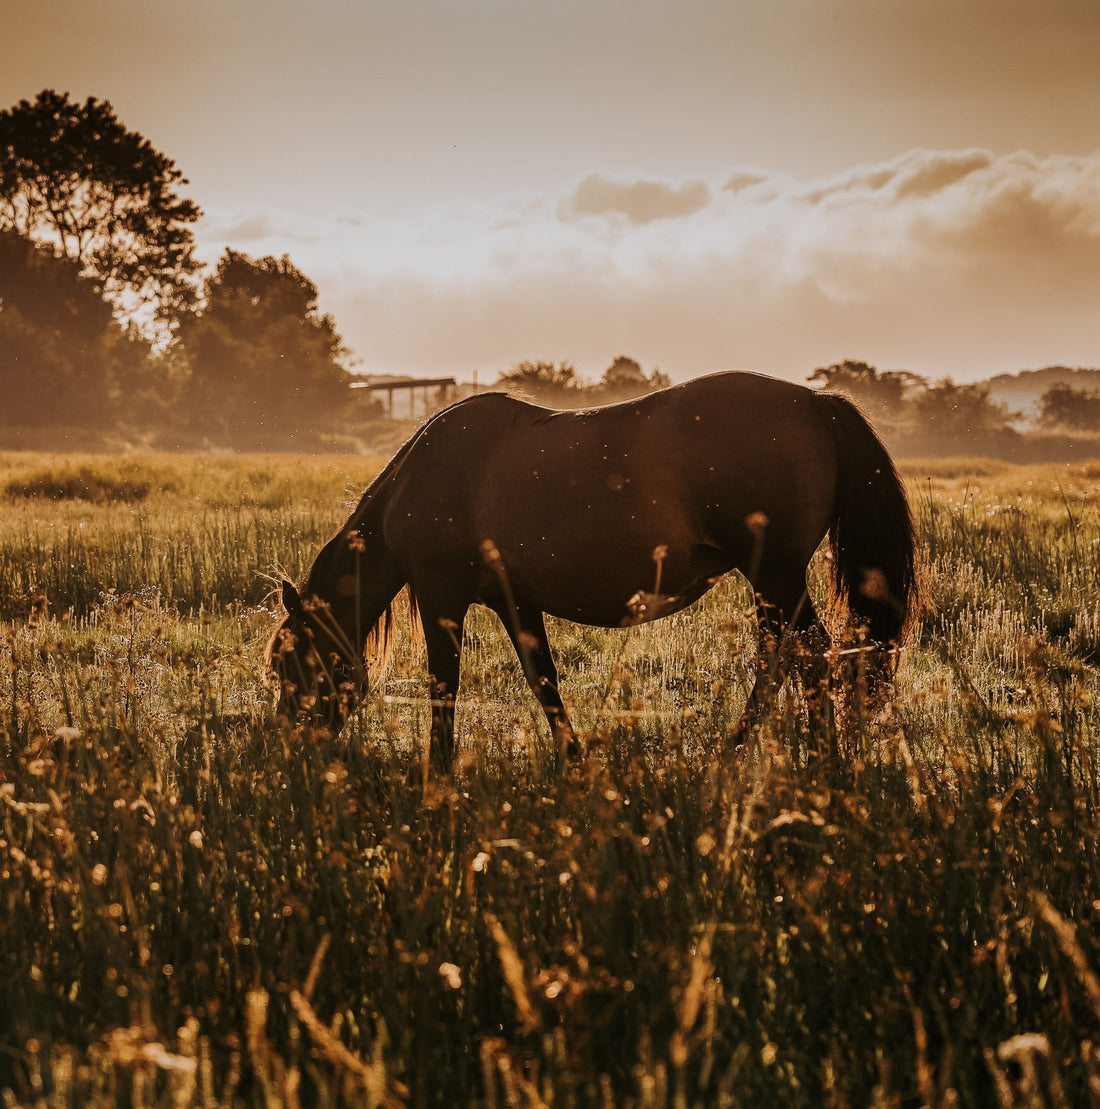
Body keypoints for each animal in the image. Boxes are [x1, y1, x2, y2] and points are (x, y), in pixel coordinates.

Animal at [270, 372, 913, 771]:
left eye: (288, 663)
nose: (291, 745)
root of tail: (813, 401)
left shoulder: (440, 595)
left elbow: (444, 685)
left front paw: (441, 770)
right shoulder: (514, 599)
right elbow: (543, 679)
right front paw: (574, 761)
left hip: (776, 577)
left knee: (809, 656)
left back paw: (798, 759)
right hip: (774, 585)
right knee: (789, 657)